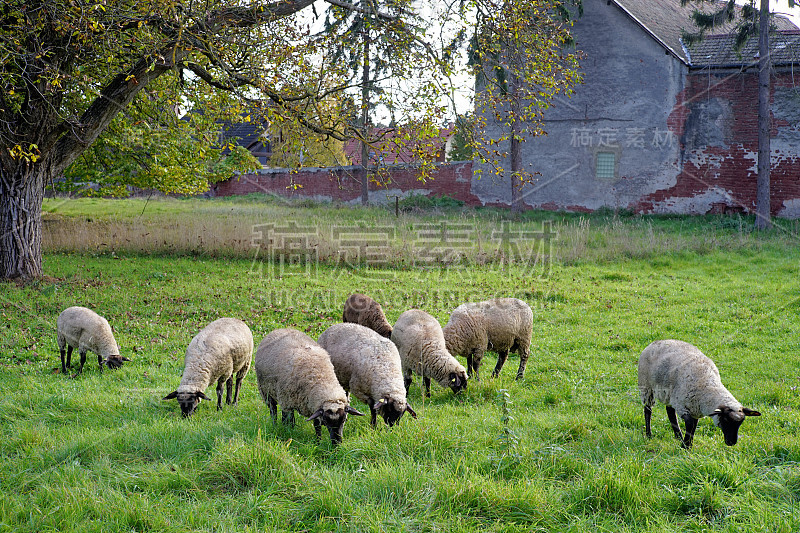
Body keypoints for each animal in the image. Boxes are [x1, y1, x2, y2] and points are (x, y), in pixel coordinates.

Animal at [636, 338, 764, 446]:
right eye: (726, 420)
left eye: (741, 423)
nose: (731, 442)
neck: (707, 386)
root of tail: (656, 342)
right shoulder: (683, 406)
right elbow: (690, 425)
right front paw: (685, 446)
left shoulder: (695, 409)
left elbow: (693, 427)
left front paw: (688, 444)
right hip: (646, 387)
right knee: (648, 410)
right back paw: (649, 434)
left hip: (669, 394)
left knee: (670, 411)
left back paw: (678, 436)